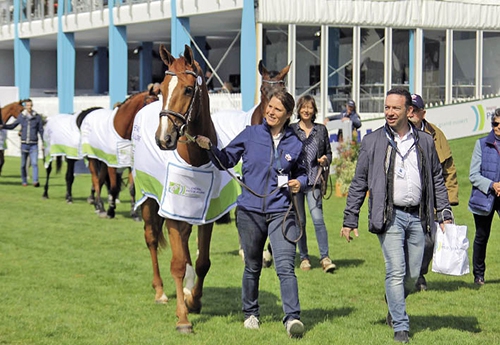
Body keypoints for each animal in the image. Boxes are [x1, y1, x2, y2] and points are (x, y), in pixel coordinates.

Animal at [79, 87, 158, 219]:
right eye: (148, 104)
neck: (122, 131)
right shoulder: (112, 164)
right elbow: (114, 188)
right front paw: (111, 211)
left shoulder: (130, 164)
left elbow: (132, 188)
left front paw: (134, 213)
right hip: (93, 159)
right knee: (96, 180)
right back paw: (100, 207)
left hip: (103, 161)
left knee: (100, 180)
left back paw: (98, 206)